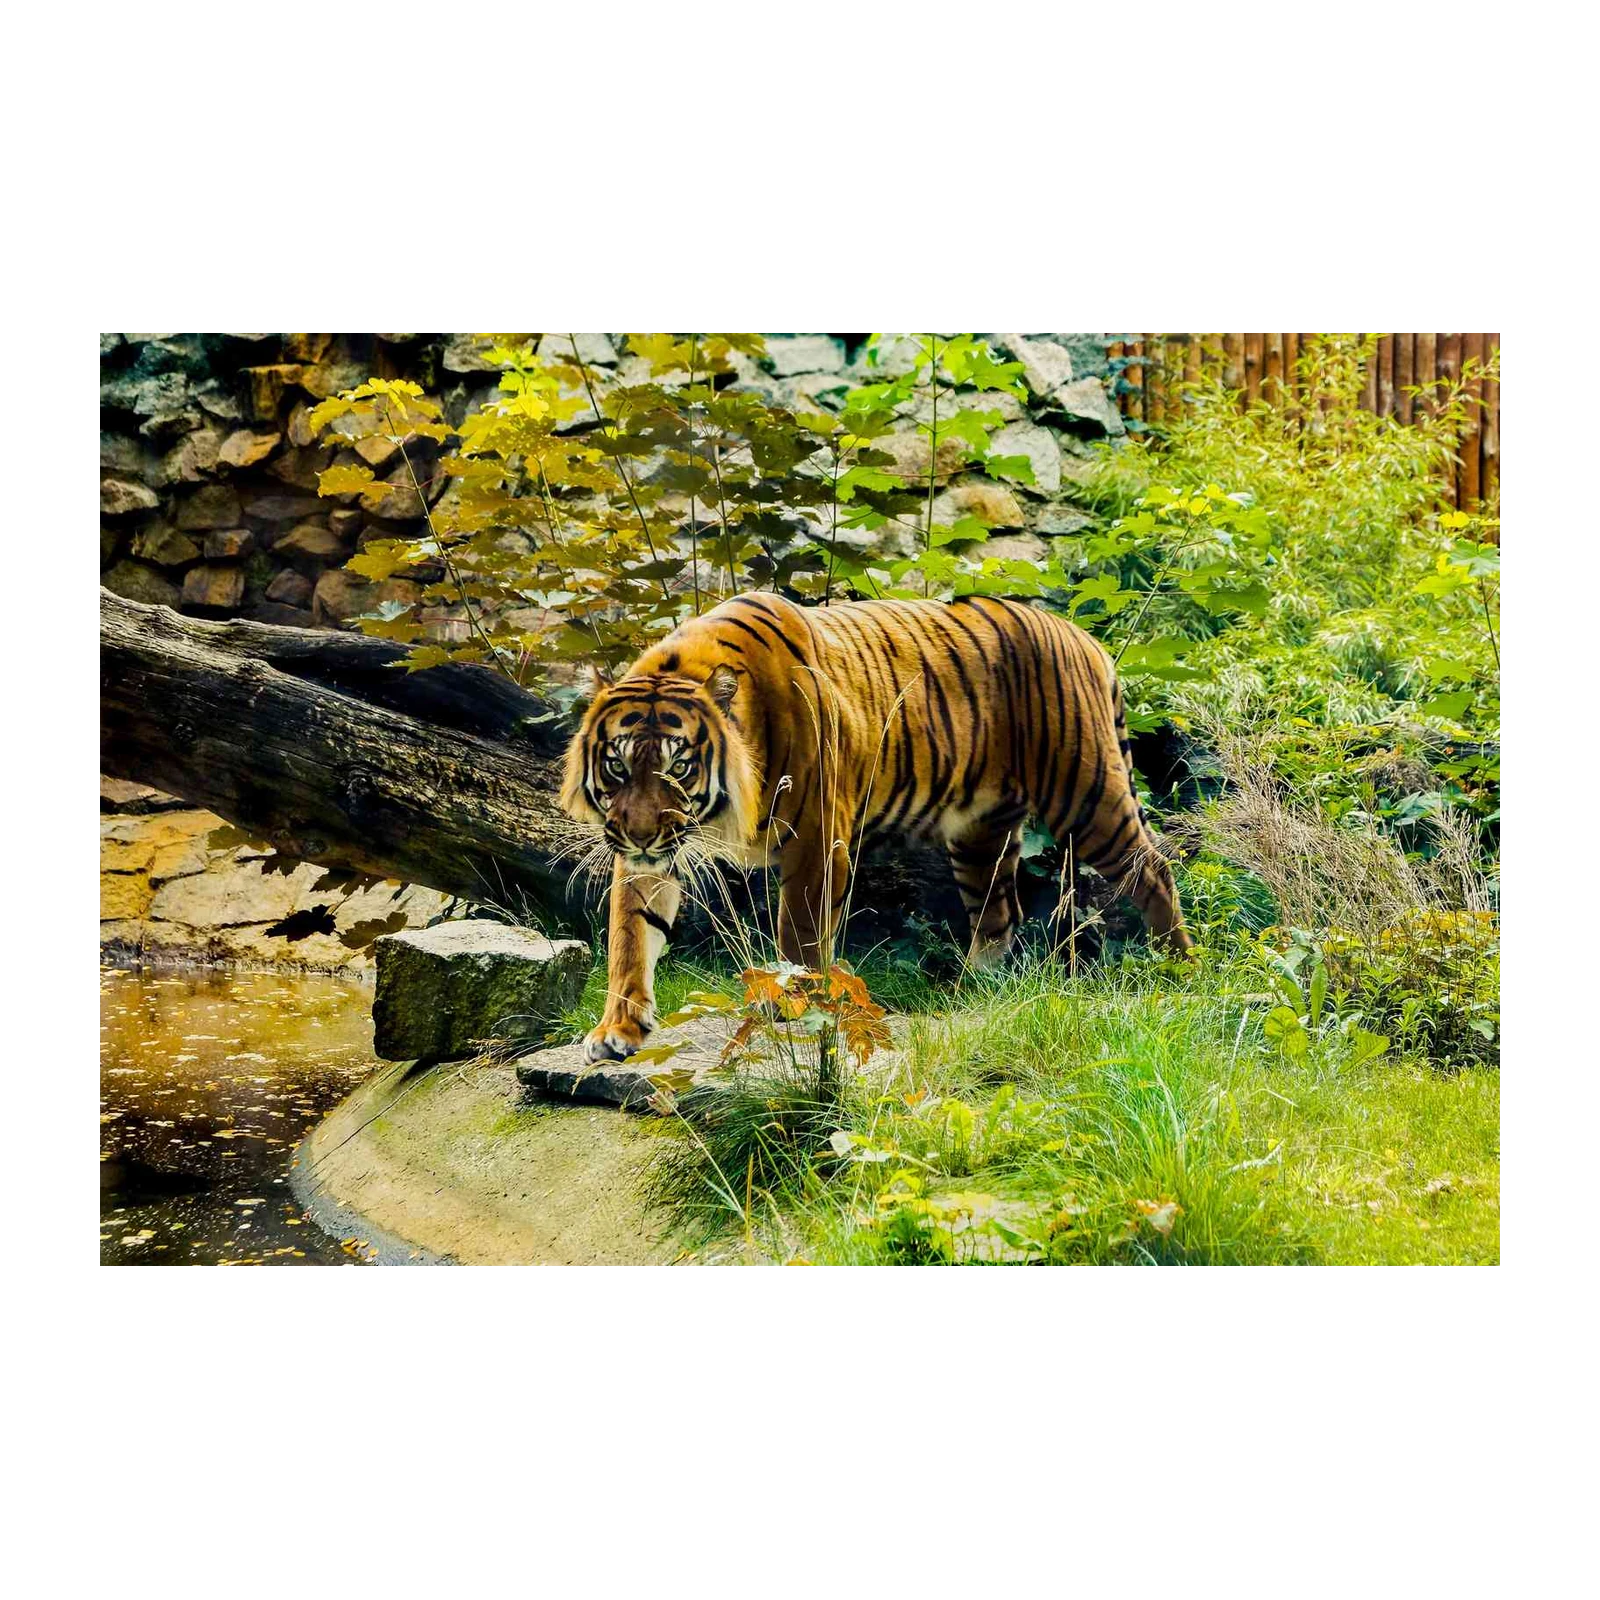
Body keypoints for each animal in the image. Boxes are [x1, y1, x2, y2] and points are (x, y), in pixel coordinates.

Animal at [559, 590, 1193, 1064]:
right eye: (617, 766)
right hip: (980, 832)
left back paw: (1180, 969)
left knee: (1153, 869)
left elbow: (800, 932)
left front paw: (792, 1004)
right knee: (1000, 912)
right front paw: (617, 1029)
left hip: (1084, 794)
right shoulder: (650, 853)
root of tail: (1085, 639)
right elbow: (630, 935)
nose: (640, 833)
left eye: (678, 766)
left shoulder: (816, 839)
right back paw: (971, 989)